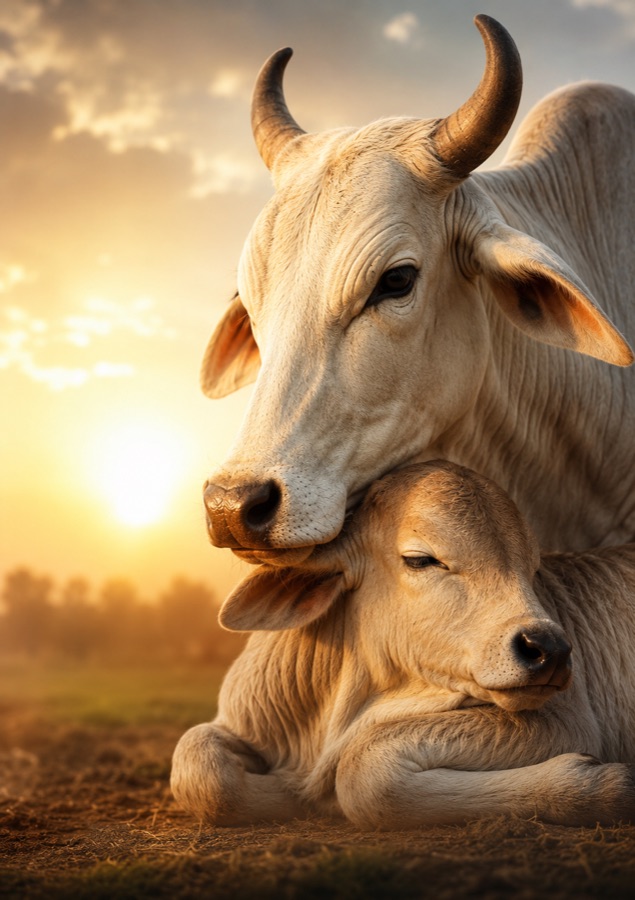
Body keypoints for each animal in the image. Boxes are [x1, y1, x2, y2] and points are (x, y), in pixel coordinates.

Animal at [171, 460, 635, 828]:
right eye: (420, 559)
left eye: (534, 567)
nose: (548, 648)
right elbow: (199, 769)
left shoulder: (566, 719)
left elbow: (364, 773)